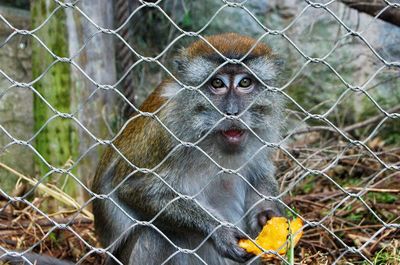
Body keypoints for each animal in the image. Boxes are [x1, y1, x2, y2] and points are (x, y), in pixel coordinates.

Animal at [91, 33, 284, 264]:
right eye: (217, 83)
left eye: (245, 82)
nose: (232, 111)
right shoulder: (167, 134)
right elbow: (135, 188)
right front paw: (219, 231)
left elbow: (259, 176)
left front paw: (267, 214)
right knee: (153, 235)